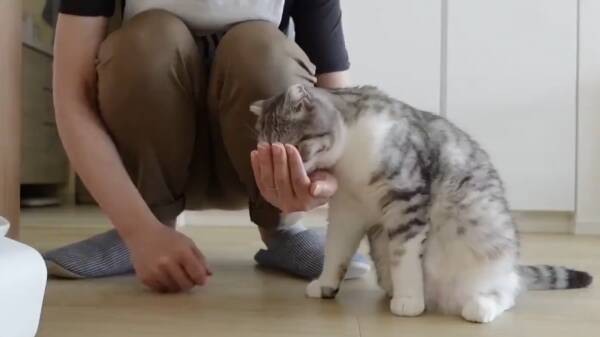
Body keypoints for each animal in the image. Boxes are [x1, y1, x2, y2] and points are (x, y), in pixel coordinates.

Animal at [248, 84, 592, 322]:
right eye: (267, 147)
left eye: (294, 145)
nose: (282, 160)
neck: (348, 163)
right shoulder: (347, 210)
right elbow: (335, 252)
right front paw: (324, 285)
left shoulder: (406, 198)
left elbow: (404, 257)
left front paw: (409, 301)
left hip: (487, 244)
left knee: (509, 289)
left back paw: (480, 305)